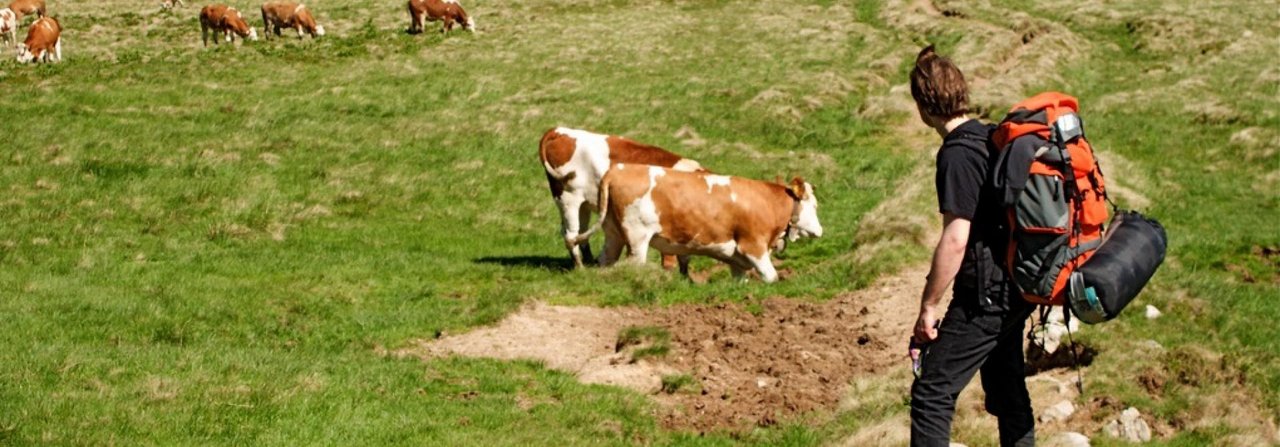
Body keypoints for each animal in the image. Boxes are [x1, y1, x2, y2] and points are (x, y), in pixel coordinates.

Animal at [537, 126, 706, 270]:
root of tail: (559, 131)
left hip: (583, 204)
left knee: (580, 233)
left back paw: (590, 263)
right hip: (568, 199)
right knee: (571, 234)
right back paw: (581, 267)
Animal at [578, 163, 819, 281]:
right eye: (815, 205)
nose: (820, 230)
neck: (767, 201)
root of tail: (618, 170)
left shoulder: (737, 258)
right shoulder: (752, 246)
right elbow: (772, 277)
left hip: (613, 233)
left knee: (606, 260)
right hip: (637, 238)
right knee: (635, 265)